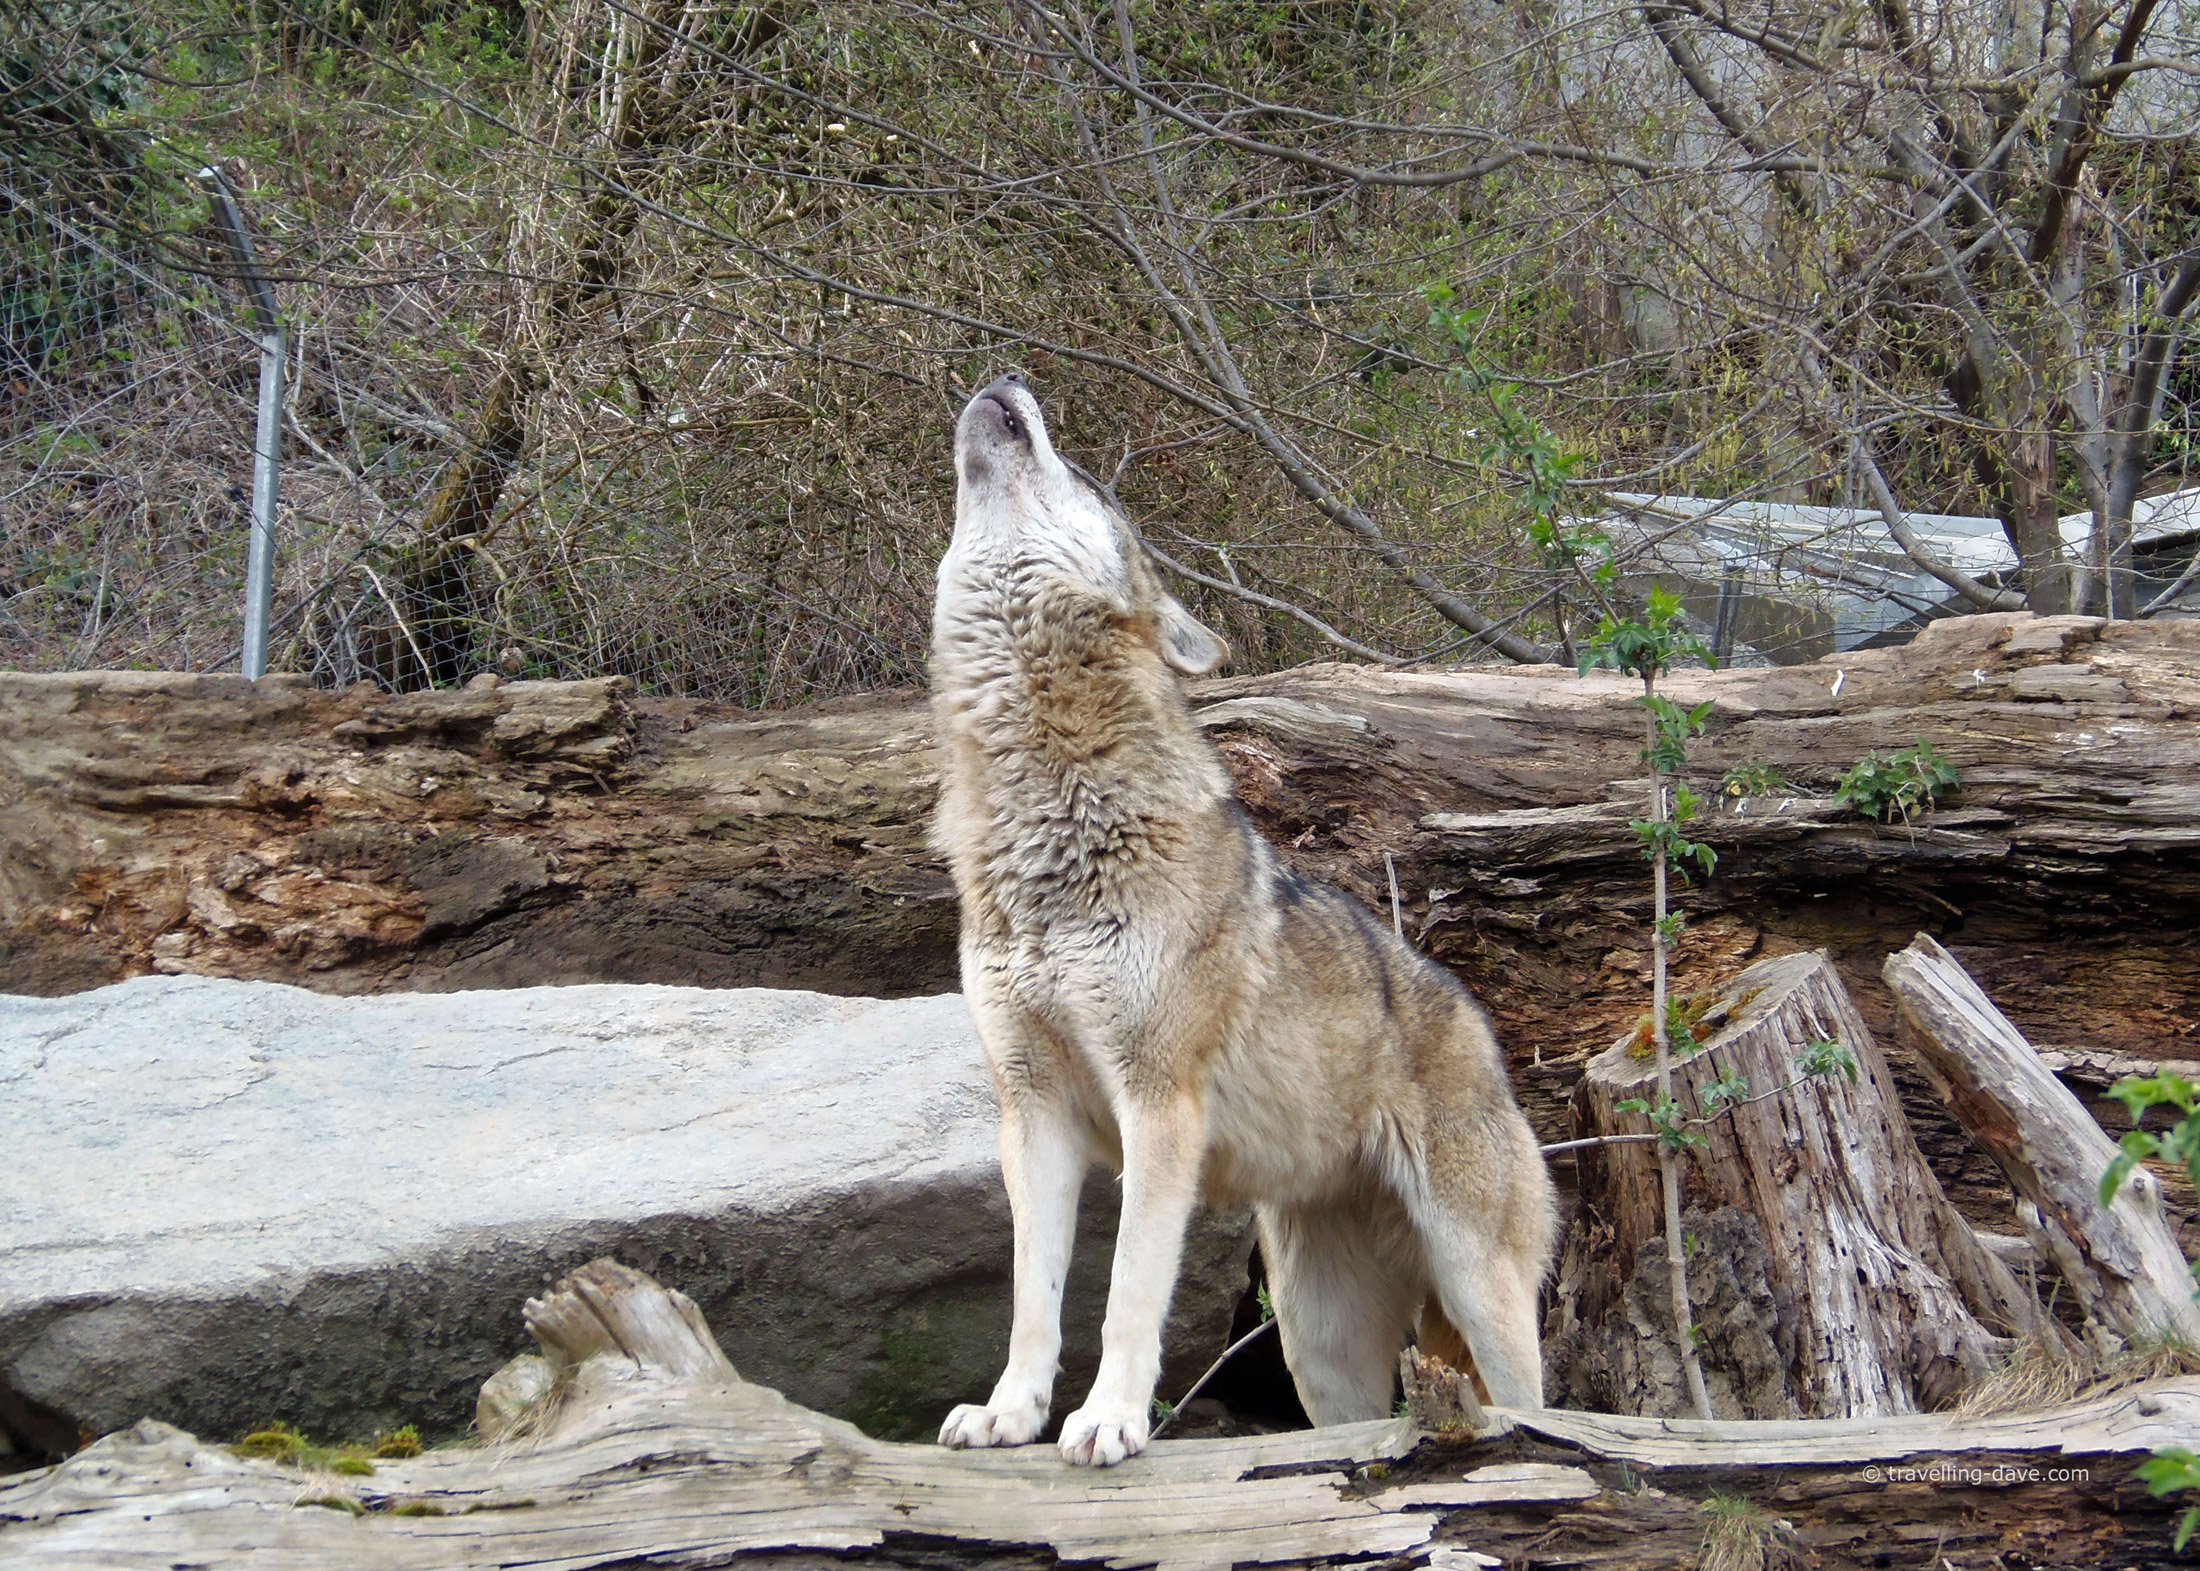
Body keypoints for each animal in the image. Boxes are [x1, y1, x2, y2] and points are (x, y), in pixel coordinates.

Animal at [930, 372, 1556, 1467]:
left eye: (1084, 476)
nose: (1006, 378)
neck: (1047, 809)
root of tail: (1484, 1033)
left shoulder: (1159, 1106)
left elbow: (1127, 1291)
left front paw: (1109, 1420)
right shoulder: (1032, 1110)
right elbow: (1032, 1298)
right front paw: (1010, 1413)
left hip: (1481, 1298)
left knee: (1544, 1401)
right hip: (1322, 1347)